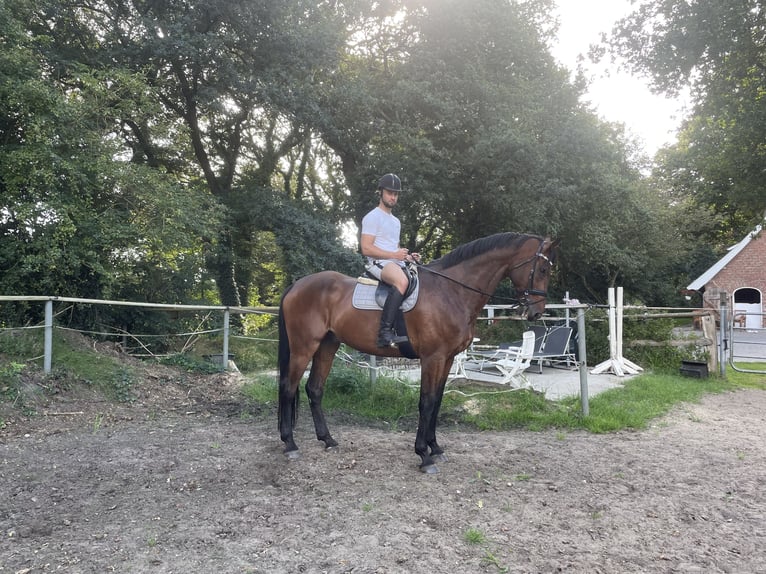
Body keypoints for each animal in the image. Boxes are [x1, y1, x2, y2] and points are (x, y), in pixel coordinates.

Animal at [280, 232, 560, 474]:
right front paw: (424, 456)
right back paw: (290, 444)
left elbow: (437, 401)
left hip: (327, 345)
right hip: (304, 346)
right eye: (543, 270)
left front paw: (435, 448)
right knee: (288, 387)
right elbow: (426, 401)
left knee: (314, 389)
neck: (452, 292)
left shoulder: (447, 359)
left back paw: (327, 439)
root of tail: (296, 285)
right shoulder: (432, 358)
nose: (537, 312)